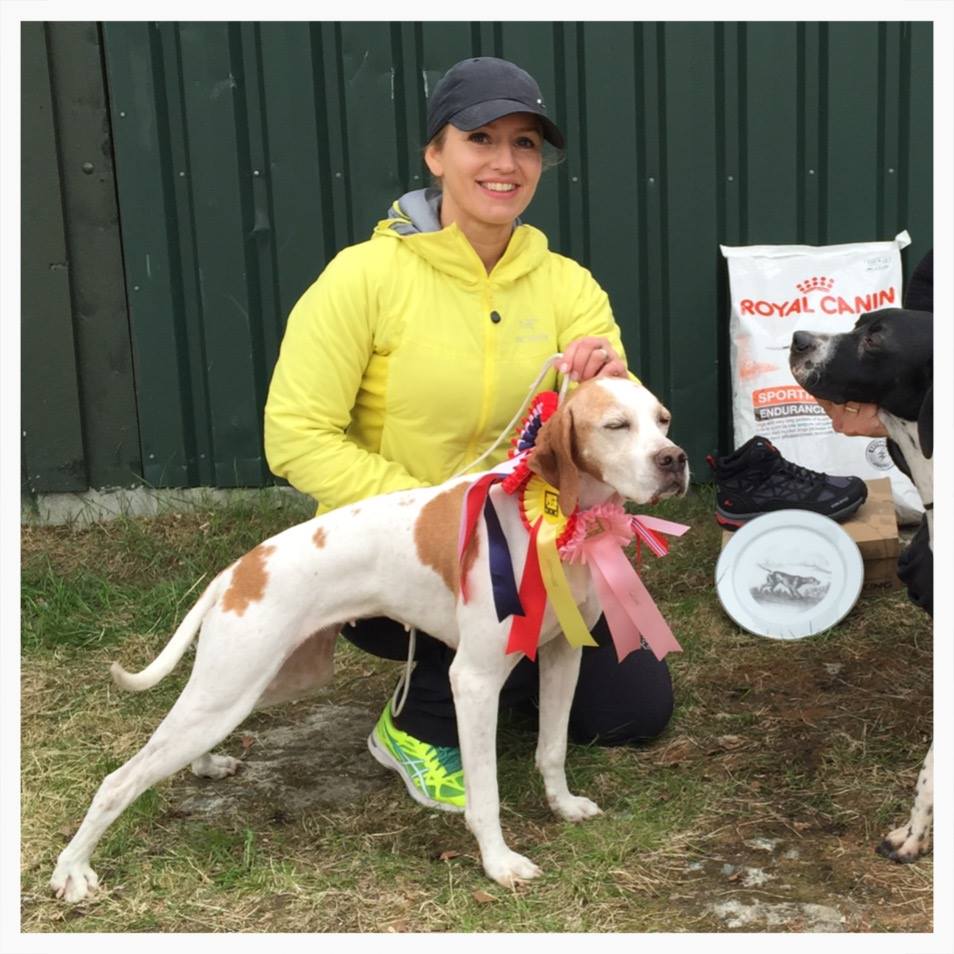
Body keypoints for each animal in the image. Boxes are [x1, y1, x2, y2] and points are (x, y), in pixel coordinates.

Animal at [50, 374, 684, 900]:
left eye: (663, 420)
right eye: (616, 425)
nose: (674, 460)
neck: (551, 520)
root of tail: (237, 571)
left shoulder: (562, 654)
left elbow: (551, 749)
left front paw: (562, 805)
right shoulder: (475, 680)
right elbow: (485, 793)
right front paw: (499, 862)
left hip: (264, 683)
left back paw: (206, 765)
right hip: (230, 686)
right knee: (119, 780)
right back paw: (72, 869)